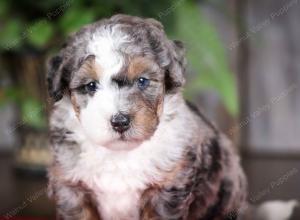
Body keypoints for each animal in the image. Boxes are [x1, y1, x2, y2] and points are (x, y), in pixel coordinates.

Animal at [47, 14, 247, 219]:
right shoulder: (72, 188)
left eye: (142, 81)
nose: (120, 122)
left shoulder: (166, 189)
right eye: (91, 85)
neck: (120, 154)